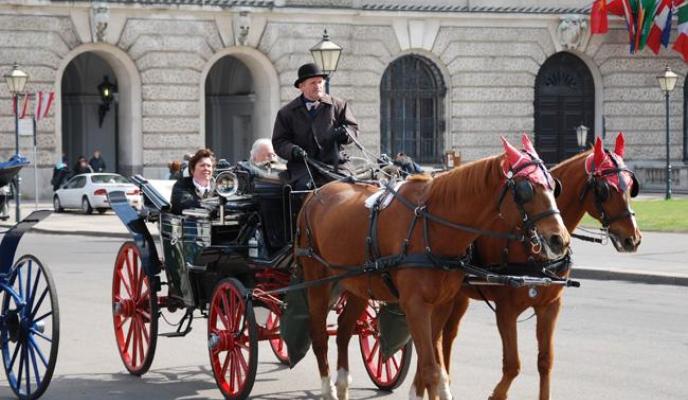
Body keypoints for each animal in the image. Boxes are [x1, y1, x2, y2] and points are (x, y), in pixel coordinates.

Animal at [295, 136, 571, 400]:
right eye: (526, 190)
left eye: (553, 186)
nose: (560, 240)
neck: (432, 226)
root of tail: (315, 194)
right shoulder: (416, 306)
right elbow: (429, 367)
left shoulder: (441, 304)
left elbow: (431, 362)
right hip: (316, 280)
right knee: (318, 335)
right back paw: (328, 389)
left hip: (359, 285)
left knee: (343, 329)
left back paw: (342, 384)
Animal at [414, 133, 641, 400]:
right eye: (605, 189)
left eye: (630, 186)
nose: (633, 238)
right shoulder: (506, 310)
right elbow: (513, 365)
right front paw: (496, 394)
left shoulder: (550, 307)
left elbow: (545, 361)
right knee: (436, 339)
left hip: (456, 296)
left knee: (445, 337)